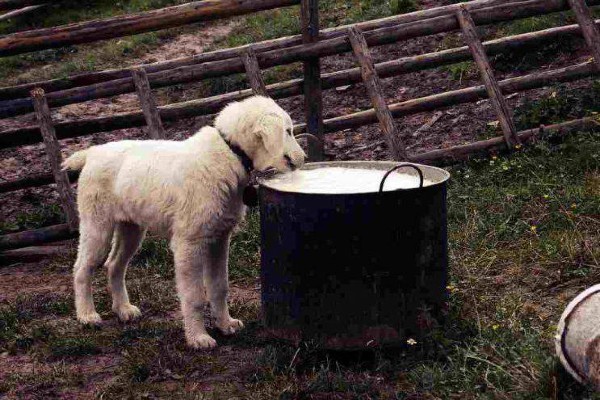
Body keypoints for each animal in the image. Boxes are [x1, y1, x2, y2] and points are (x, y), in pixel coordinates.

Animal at [62, 96, 304, 346]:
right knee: (82, 268)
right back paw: (87, 315)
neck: (229, 152)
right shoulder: (189, 243)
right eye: (288, 131)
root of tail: (92, 152)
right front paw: (198, 337)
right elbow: (194, 295)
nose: (303, 159)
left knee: (114, 265)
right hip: (97, 225)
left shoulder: (220, 238)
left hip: (131, 229)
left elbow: (219, 286)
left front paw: (225, 324)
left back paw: (123, 309)